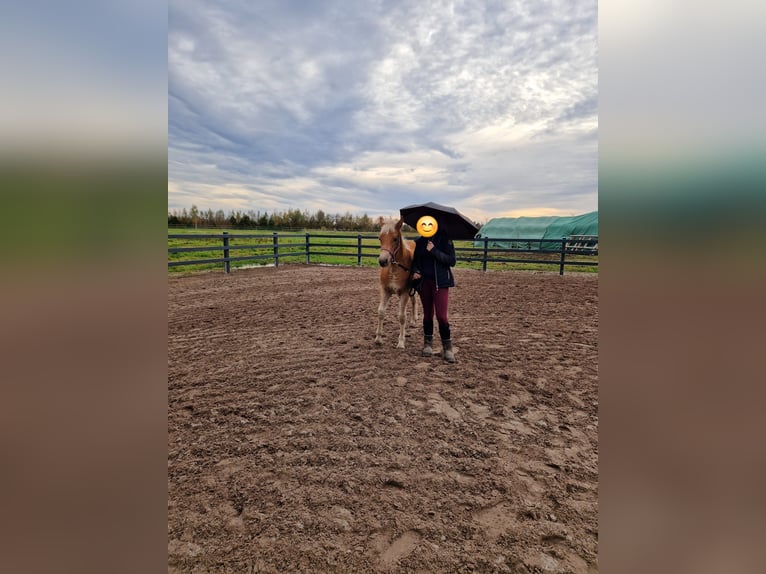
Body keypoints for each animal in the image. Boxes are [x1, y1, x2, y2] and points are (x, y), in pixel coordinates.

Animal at [374, 218, 416, 348]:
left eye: (395, 238)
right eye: (380, 238)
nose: (383, 261)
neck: (394, 269)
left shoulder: (405, 292)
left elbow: (402, 317)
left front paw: (401, 342)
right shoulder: (385, 290)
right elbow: (381, 312)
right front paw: (378, 338)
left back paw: (414, 320)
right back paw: (413, 321)